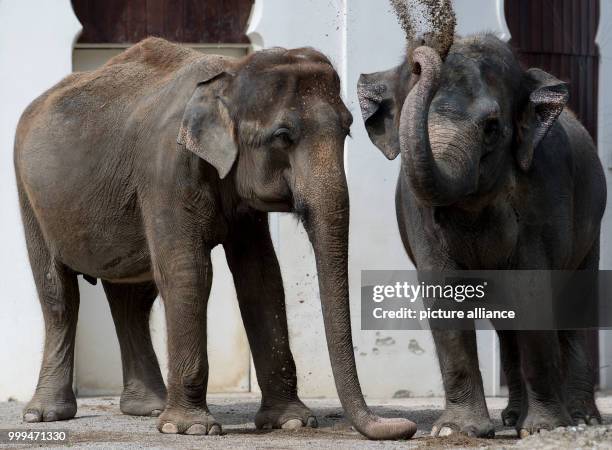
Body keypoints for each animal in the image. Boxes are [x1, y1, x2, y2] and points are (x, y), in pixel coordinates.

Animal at [13, 38, 416, 440]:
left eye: (347, 131)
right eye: (283, 137)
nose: (406, 426)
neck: (229, 77)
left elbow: (261, 276)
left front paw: (290, 421)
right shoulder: (166, 169)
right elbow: (189, 273)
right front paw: (190, 429)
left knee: (132, 298)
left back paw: (148, 408)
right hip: (27, 192)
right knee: (58, 295)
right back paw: (45, 415)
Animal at [356, 1, 604, 442]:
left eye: (491, 128)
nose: (423, 46)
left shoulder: (544, 192)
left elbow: (533, 292)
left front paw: (543, 430)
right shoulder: (414, 205)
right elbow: (443, 295)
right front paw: (456, 432)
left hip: (592, 223)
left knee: (574, 305)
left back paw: (580, 419)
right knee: (506, 324)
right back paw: (512, 419)